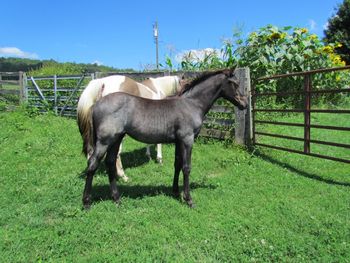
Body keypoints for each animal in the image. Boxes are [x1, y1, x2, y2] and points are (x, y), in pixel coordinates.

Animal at [82, 69, 247, 209]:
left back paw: (117, 199)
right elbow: (186, 167)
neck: (191, 104)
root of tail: (95, 105)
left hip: (116, 139)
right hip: (105, 141)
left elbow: (177, 164)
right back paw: (86, 203)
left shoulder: (179, 141)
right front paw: (189, 199)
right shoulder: (187, 140)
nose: (244, 104)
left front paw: (175, 191)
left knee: (110, 162)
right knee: (93, 164)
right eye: (234, 83)